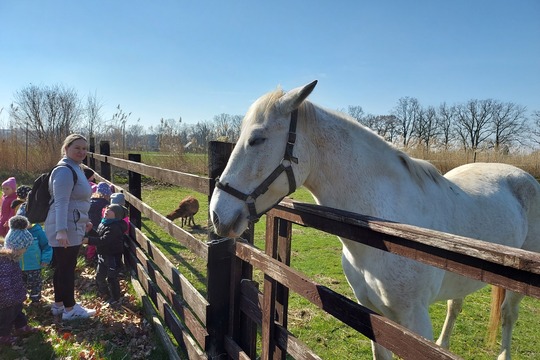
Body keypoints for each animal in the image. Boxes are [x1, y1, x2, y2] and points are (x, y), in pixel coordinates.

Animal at [209, 81, 540, 360]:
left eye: (257, 139)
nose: (217, 214)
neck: (390, 232)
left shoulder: (414, 322)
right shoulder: (374, 316)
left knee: (508, 314)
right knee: (455, 305)